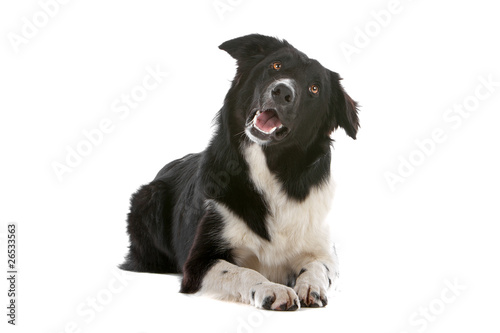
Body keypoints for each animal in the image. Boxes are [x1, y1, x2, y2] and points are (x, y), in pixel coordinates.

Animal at [123, 33, 362, 308]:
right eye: (276, 65)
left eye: (315, 88)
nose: (282, 91)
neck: (269, 170)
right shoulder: (198, 262)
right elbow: (245, 272)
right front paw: (271, 288)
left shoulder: (322, 249)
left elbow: (318, 267)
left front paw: (310, 285)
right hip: (149, 199)